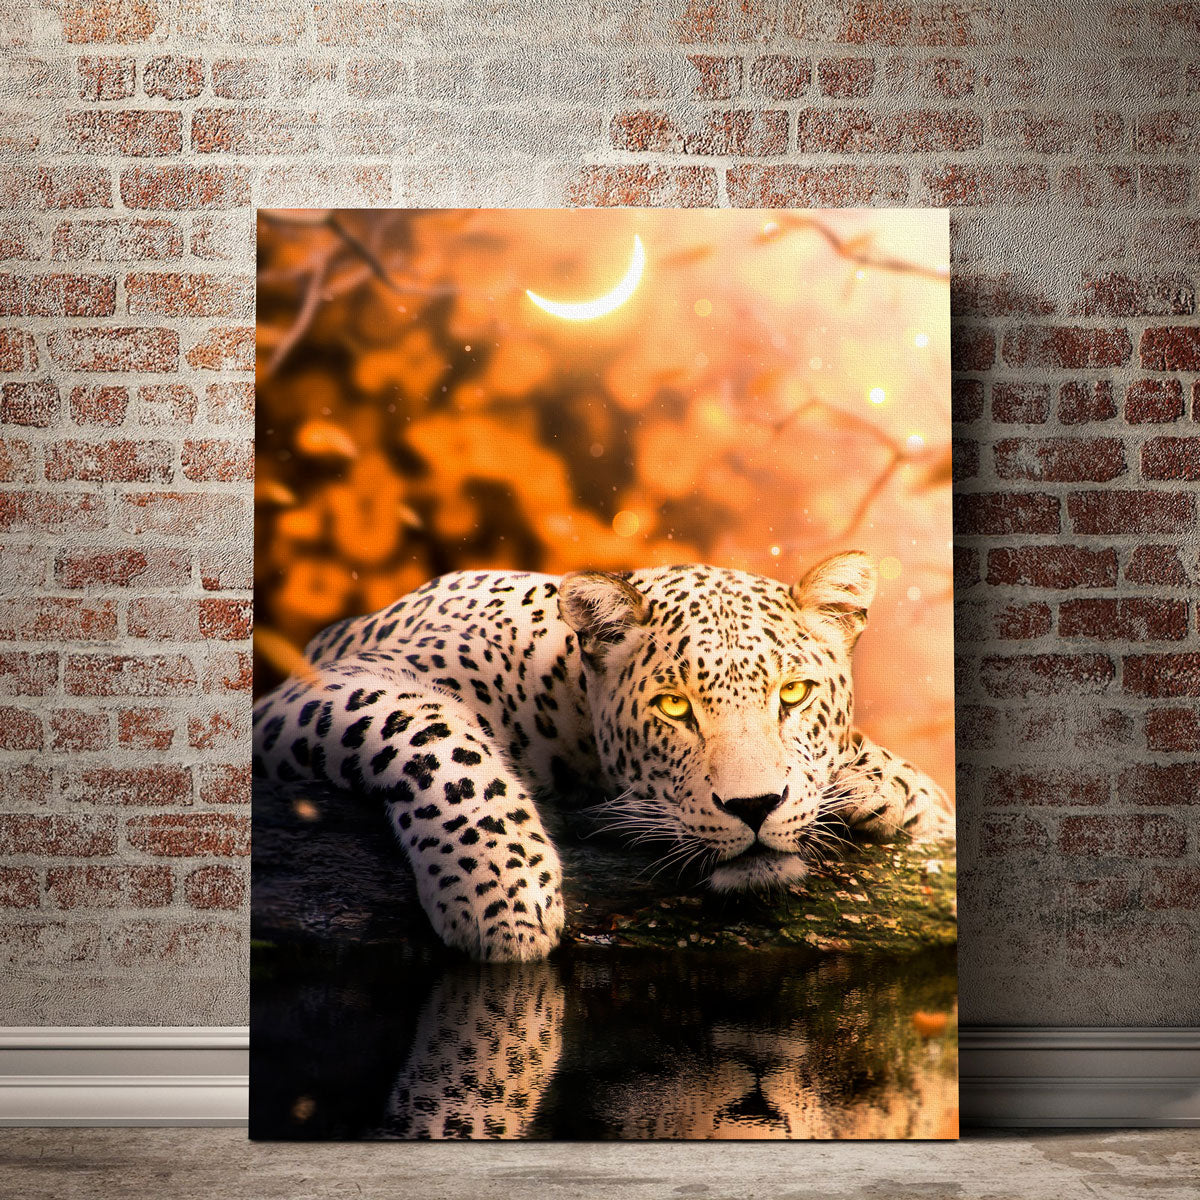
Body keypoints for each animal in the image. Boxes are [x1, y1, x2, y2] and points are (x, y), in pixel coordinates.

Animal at [252, 552, 953, 963]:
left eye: (793, 694)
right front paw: (504, 892)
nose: (755, 807)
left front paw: (885, 785)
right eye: (674, 707)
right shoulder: (320, 690)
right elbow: (433, 735)